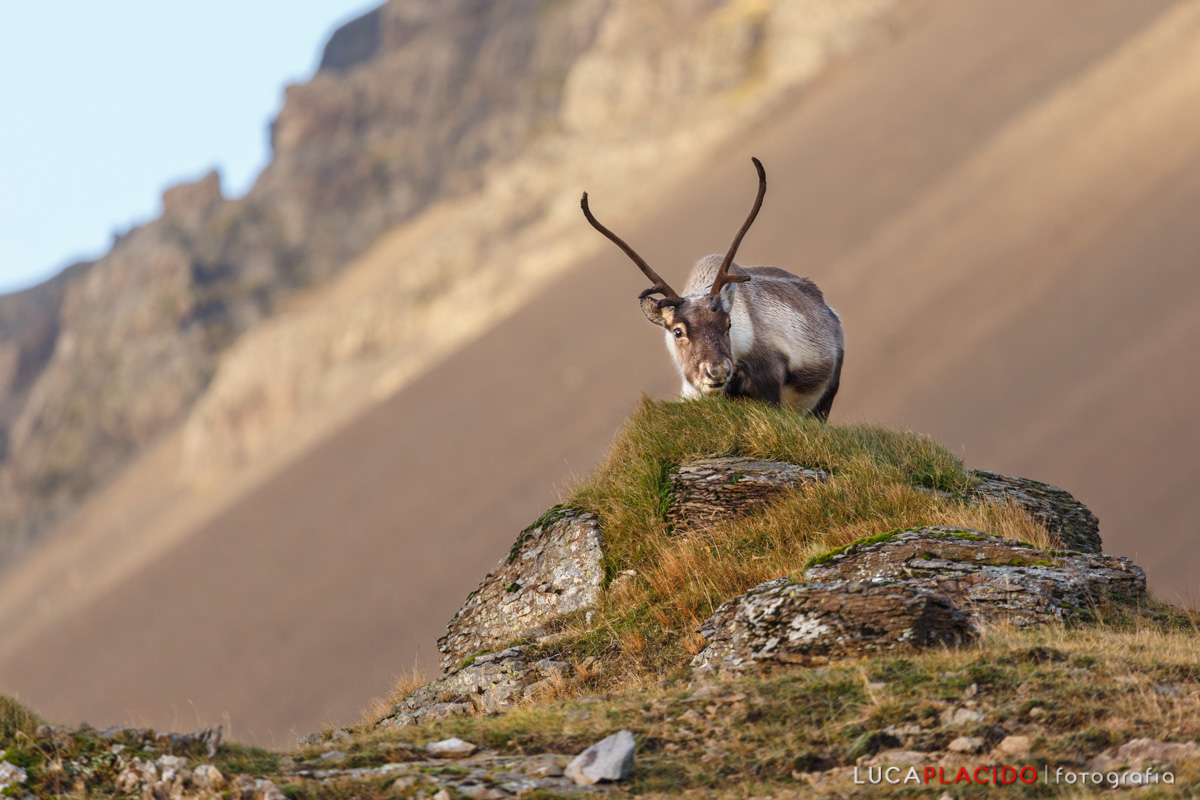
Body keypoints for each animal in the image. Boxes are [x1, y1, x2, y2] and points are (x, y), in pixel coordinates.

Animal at [581, 157, 844, 419]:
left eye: (728, 324)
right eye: (677, 331)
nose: (716, 372)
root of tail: (828, 309)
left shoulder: (768, 384)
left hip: (824, 400)